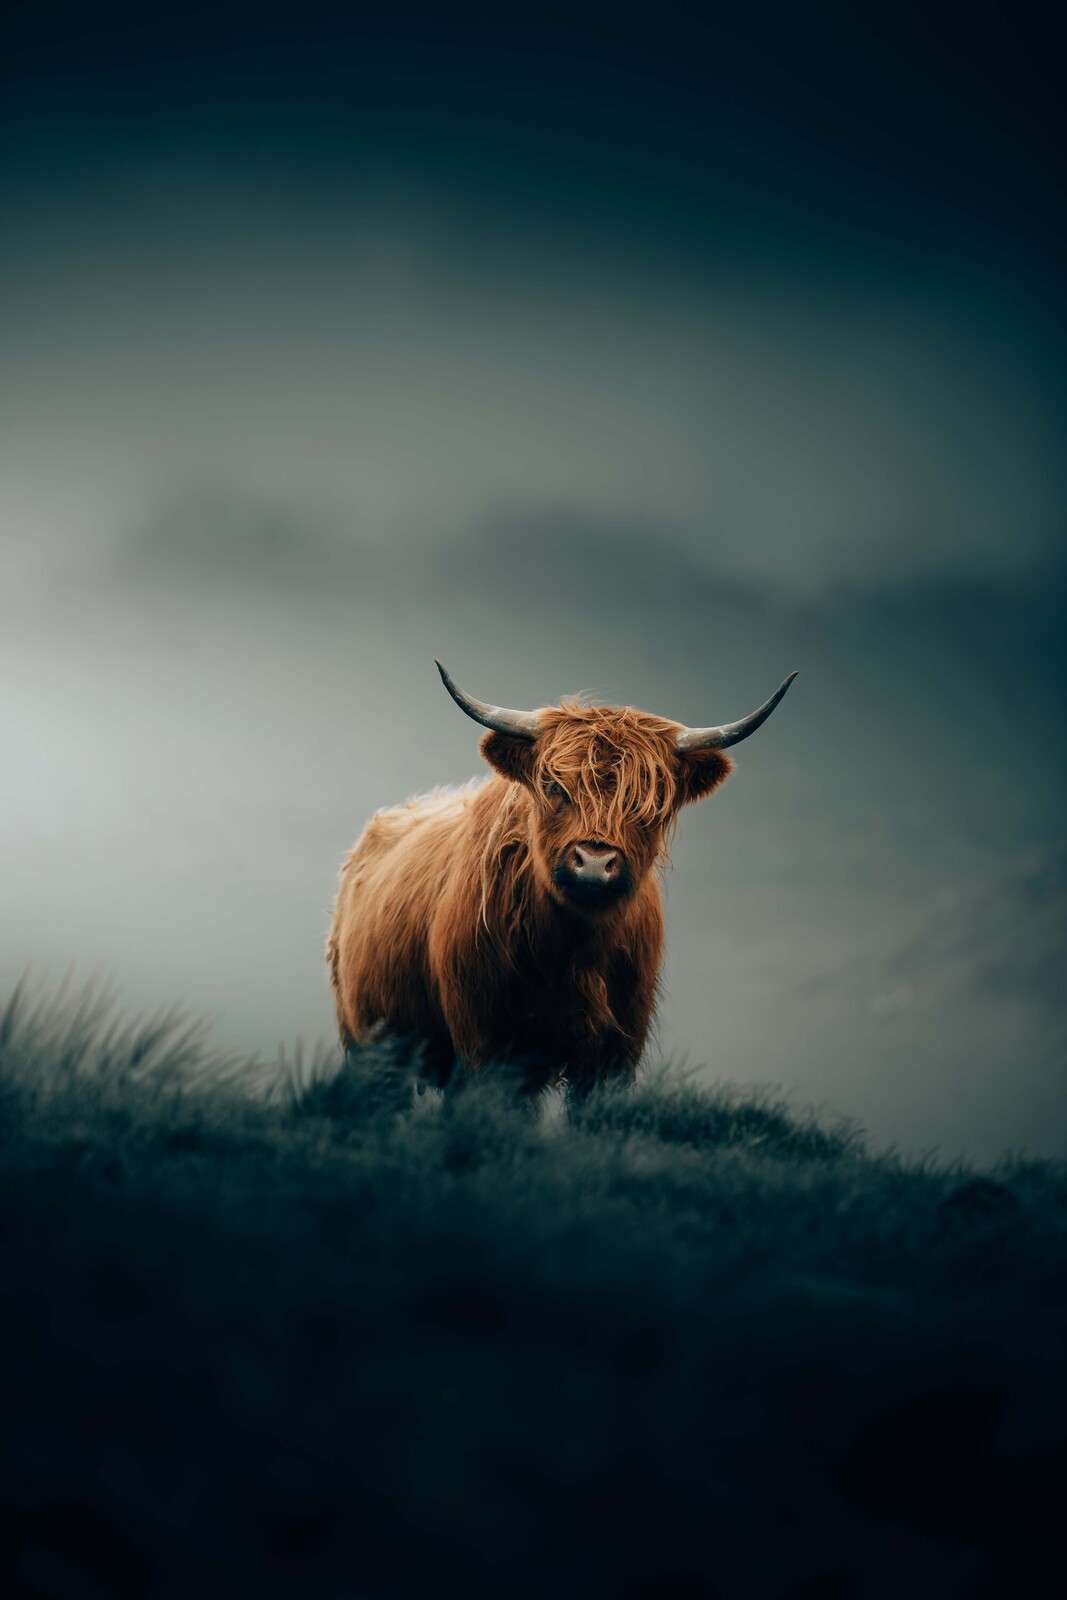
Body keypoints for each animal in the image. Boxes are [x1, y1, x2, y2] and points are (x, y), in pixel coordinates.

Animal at [327, 662, 796, 1096]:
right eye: (554, 786)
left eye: (651, 800)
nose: (593, 862)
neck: (574, 950)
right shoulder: (486, 1042)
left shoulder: (616, 1053)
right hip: (369, 1041)